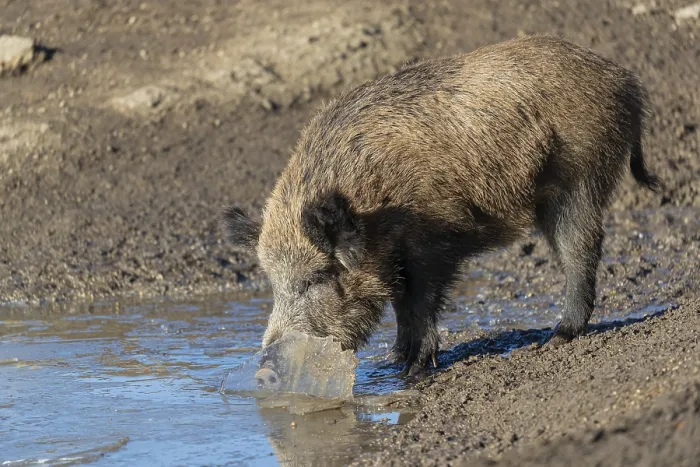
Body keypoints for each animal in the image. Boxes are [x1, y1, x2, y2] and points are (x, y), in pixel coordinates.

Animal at [222, 34, 661, 376]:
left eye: (315, 279)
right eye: (272, 284)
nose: (264, 368)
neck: (373, 203)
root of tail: (624, 80)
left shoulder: (434, 241)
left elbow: (420, 301)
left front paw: (415, 369)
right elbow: (401, 303)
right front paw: (393, 362)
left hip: (580, 179)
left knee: (580, 251)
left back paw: (557, 338)